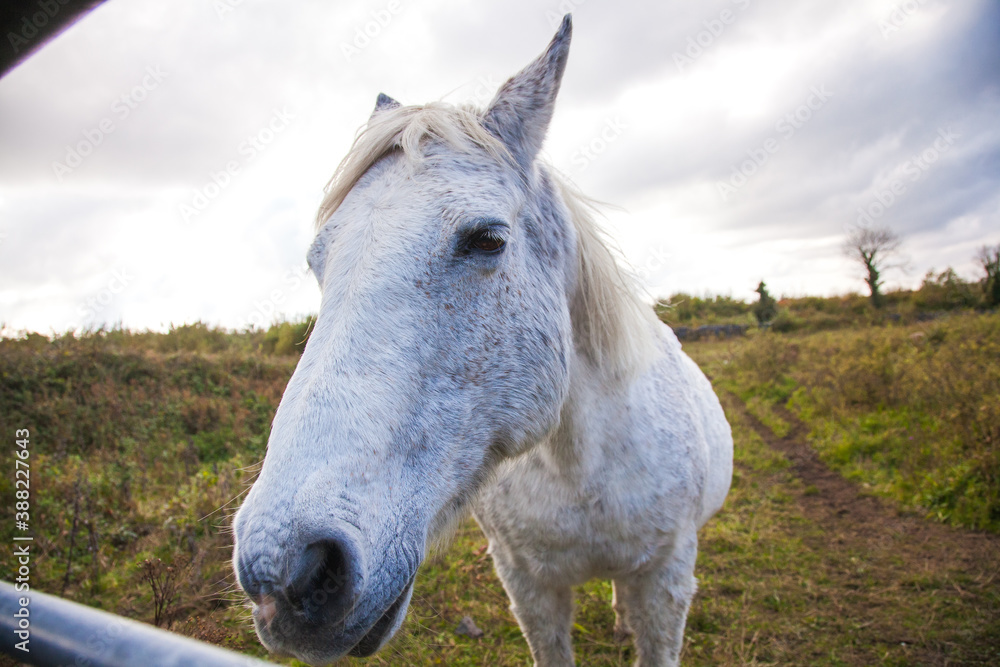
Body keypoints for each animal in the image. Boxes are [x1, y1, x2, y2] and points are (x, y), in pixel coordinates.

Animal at [232, 15, 733, 666]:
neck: (580, 469)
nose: (287, 572)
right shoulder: (528, 585)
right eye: (319, 260)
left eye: (487, 239)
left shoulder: (667, 577)